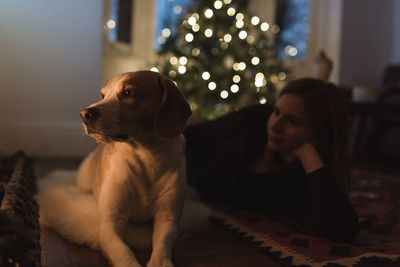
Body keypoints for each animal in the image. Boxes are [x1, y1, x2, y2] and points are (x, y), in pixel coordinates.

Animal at [37, 70, 192, 266]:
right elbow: (124, 253)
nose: (84, 113)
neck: (147, 156)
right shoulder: (109, 225)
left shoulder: (167, 219)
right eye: (102, 95)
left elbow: (162, 246)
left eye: (128, 93)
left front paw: (160, 262)